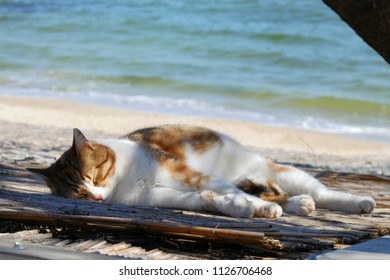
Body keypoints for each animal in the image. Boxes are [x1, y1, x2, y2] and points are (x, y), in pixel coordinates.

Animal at [27, 124, 374, 219]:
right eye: (79, 194)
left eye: (95, 176)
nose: (97, 198)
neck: (124, 179)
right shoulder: (159, 196)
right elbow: (208, 199)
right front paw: (242, 209)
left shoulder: (184, 173)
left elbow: (223, 189)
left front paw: (257, 208)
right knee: (279, 194)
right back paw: (297, 204)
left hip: (280, 171)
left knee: (322, 192)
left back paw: (358, 202)